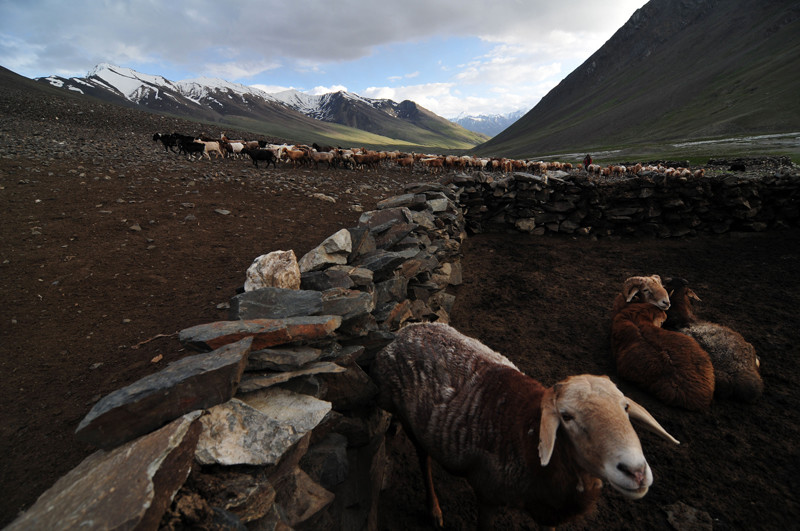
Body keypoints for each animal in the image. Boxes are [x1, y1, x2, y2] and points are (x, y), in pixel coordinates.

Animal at [372, 322, 680, 528]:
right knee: (423, 459)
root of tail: (406, 330)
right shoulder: (487, 495)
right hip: (411, 421)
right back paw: (434, 510)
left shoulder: (551, 512)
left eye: (625, 407)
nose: (635, 472)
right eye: (566, 417)